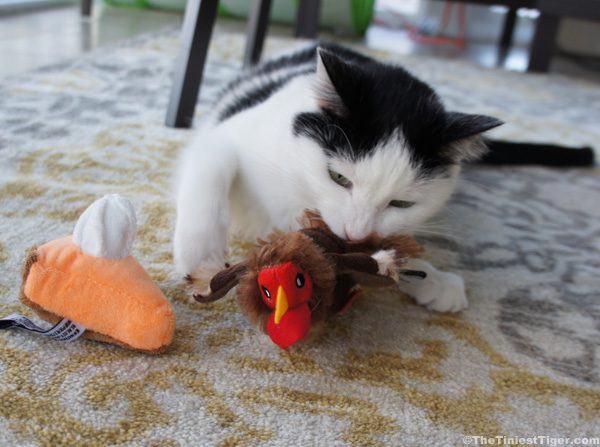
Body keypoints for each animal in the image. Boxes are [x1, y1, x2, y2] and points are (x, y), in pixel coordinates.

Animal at [172, 43, 502, 314]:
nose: (355, 233)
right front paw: (203, 260)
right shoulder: (222, 136)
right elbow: (212, 171)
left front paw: (430, 276)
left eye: (402, 203)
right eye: (338, 177)